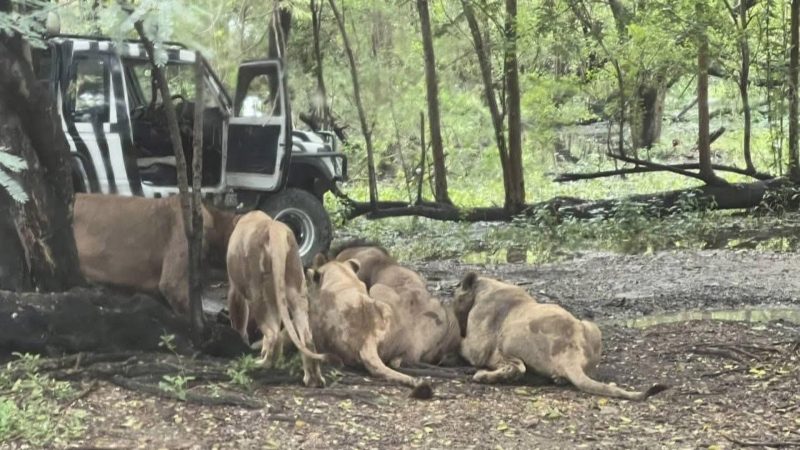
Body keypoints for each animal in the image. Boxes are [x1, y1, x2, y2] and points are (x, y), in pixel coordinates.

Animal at [226, 211, 327, 388]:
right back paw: (313, 379)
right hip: (295, 287)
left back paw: (262, 364)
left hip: (257, 293)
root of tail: (275, 229)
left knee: (274, 334)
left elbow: (239, 319)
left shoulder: (235, 289)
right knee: (306, 338)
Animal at [453, 272, 667, 400]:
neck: (486, 287)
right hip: (591, 326)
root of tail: (571, 351)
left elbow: (462, 344)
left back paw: (482, 376)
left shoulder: (476, 347)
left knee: (518, 368)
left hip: (511, 334)